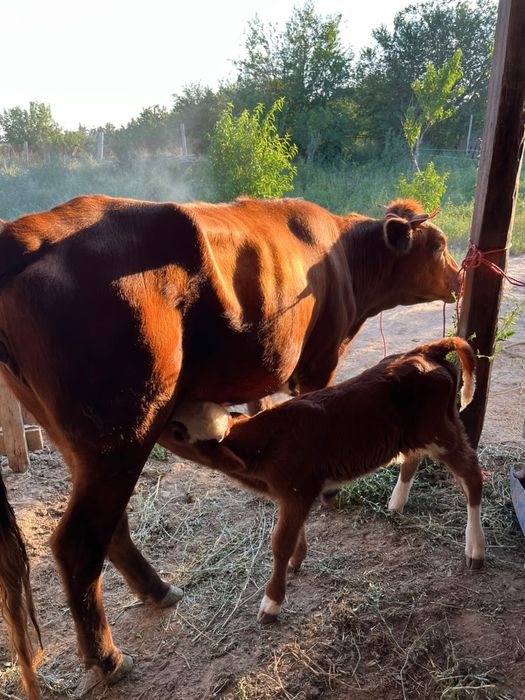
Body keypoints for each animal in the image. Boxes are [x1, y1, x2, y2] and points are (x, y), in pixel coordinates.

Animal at [159, 336, 484, 624]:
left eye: (178, 432)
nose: (161, 413)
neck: (264, 443)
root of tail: (425, 350)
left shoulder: (296, 490)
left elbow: (280, 541)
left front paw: (271, 603)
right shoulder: (293, 494)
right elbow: (293, 534)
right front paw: (297, 560)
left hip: (439, 431)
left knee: (471, 474)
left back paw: (475, 548)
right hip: (417, 434)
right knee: (415, 458)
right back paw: (396, 503)